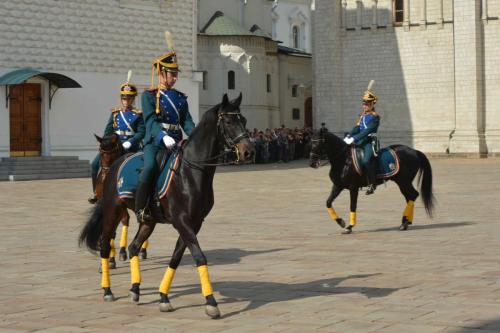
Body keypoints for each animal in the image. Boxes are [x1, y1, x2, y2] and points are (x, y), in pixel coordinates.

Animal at [81, 92, 256, 316]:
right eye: (228, 121)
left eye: (244, 120)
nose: (248, 151)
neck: (191, 172)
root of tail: (114, 165)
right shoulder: (182, 221)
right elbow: (199, 256)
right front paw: (211, 302)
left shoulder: (194, 223)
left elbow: (176, 258)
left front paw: (163, 297)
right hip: (113, 210)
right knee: (105, 244)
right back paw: (107, 289)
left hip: (148, 220)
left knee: (134, 246)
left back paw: (135, 289)